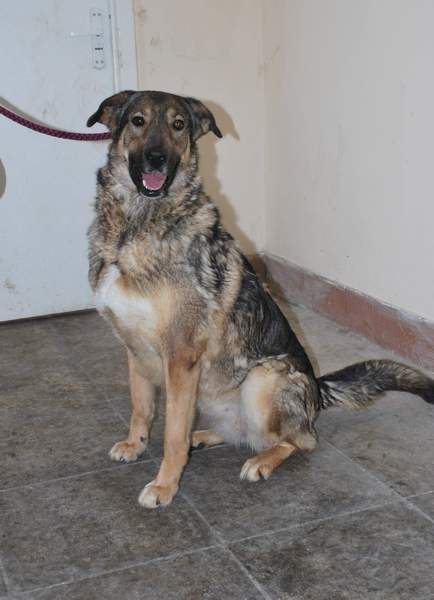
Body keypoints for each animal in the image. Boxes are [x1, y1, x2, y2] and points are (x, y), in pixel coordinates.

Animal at [87, 90, 434, 509]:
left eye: (178, 125)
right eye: (137, 121)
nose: (157, 159)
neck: (135, 224)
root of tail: (317, 393)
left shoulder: (181, 356)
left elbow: (171, 432)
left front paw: (165, 485)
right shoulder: (135, 349)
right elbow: (142, 408)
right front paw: (135, 445)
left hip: (263, 380)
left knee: (300, 441)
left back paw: (261, 462)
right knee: (237, 433)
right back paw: (203, 438)